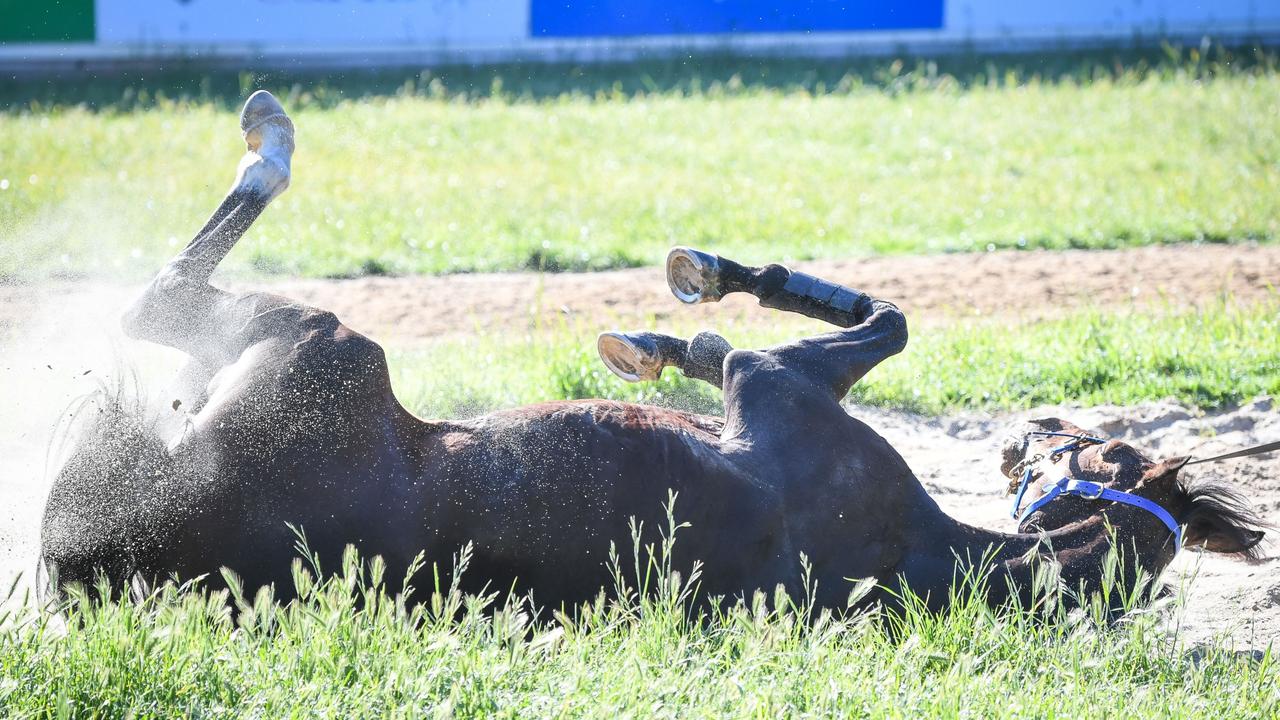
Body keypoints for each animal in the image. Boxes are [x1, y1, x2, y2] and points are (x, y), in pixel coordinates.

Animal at [37, 90, 1259, 609]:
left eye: (1088, 447)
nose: (1031, 430)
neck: (930, 553)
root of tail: (84, 552)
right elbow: (874, 321)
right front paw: (682, 317)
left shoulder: (775, 388)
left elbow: (847, 327)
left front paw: (687, 310)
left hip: (319, 344)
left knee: (157, 301)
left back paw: (270, 132)